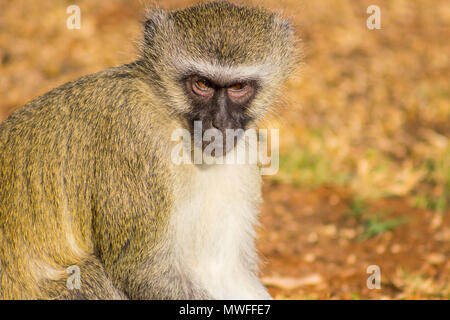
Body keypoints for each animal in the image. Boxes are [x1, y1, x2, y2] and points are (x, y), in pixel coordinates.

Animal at [0, 1, 298, 298]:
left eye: (238, 86)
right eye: (202, 84)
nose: (220, 123)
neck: (172, 118)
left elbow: (223, 270)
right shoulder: (135, 137)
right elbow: (143, 269)